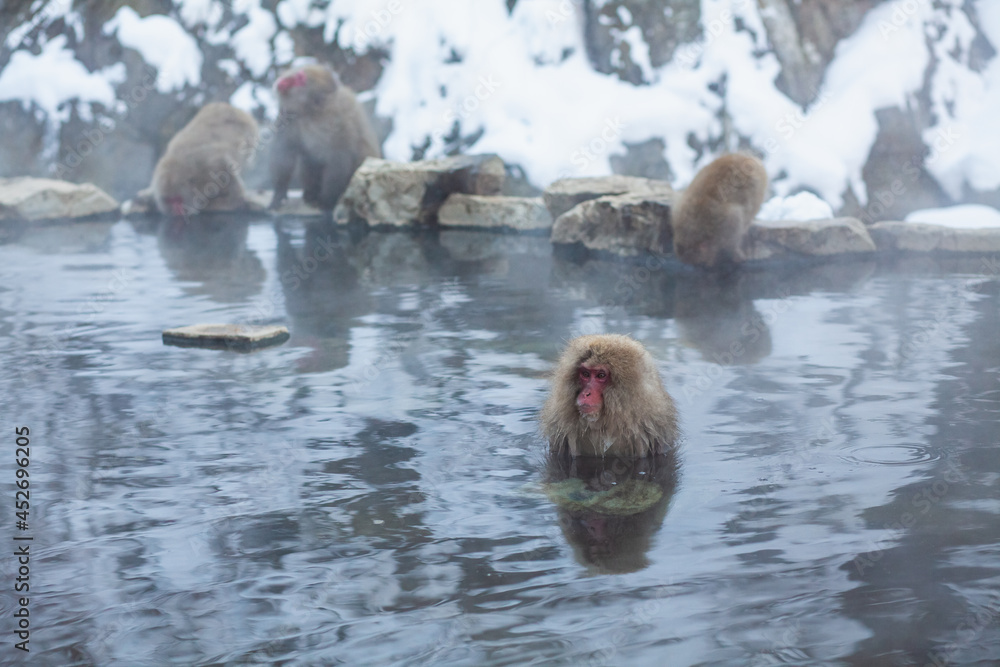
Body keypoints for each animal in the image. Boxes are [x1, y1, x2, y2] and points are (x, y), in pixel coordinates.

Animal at [269, 64, 382, 211]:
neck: (309, 112)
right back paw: (310, 194)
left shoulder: (339, 122)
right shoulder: (287, 117)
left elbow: (339, 159)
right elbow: (285, 152)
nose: (283, 80)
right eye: (298, 73)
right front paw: (279, 193)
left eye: (300, 78)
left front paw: (327, 202)